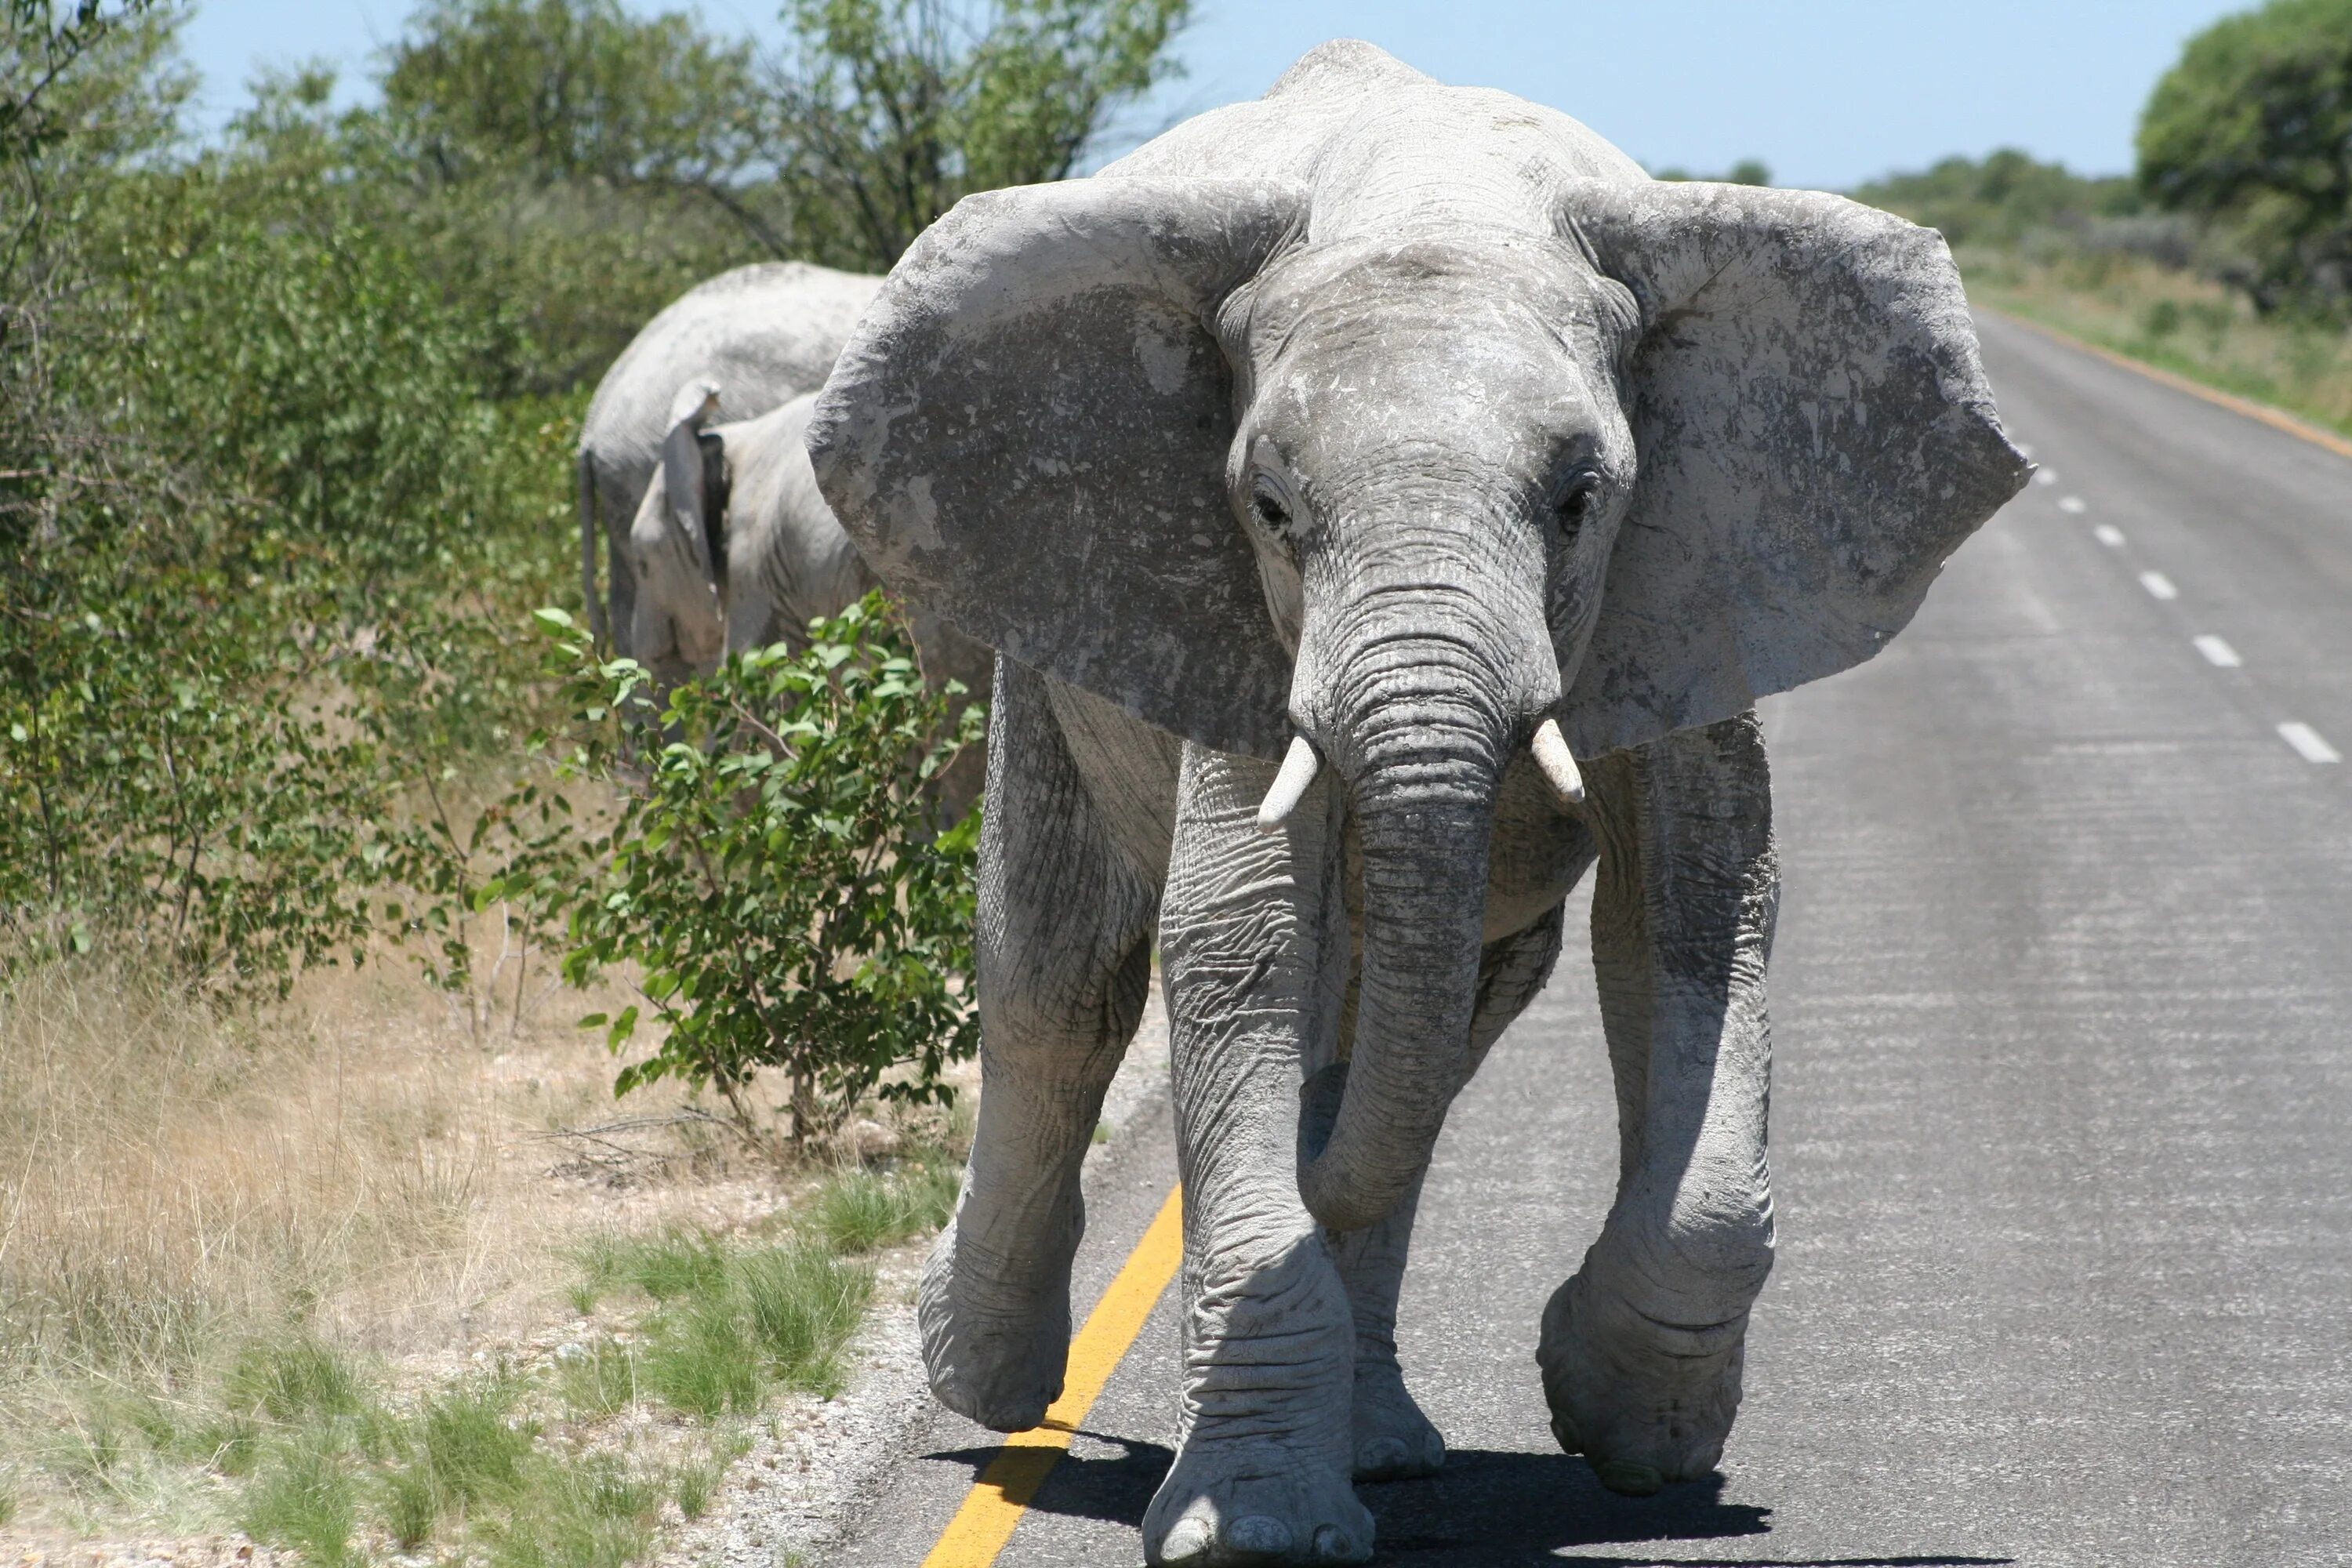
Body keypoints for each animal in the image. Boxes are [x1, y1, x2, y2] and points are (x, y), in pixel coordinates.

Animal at [804, 36, 2023, 1568]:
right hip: (1042, 626)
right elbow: (1240, 944)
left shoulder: (1697, 572)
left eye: (1579, 500)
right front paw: (1256, 1532)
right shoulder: (1226, 613)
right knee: (1062, 982)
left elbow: (1698, 910)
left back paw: (1381, 1436)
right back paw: (991, 1376)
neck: (1438, 195)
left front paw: (1629, 1426)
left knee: (1432, 1053)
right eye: (1270, 509)